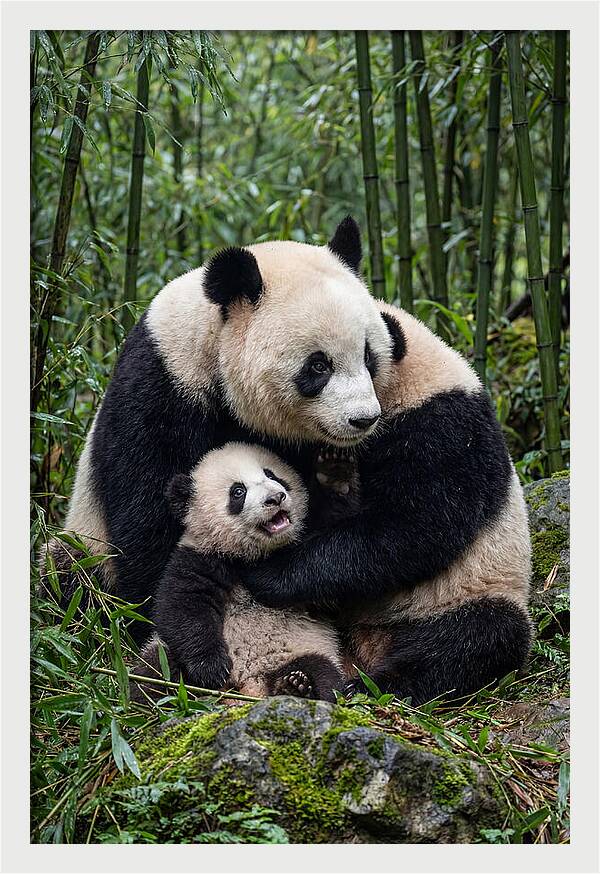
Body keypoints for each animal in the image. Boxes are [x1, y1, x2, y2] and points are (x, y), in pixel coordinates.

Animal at [132, 442, 345, 703]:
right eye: (238, 492)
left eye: (272, 475)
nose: (275, 498)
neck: (250, 554)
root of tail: (248, 684)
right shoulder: (199, 557)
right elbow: (183, 607)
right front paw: (211, 669)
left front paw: (334, 474)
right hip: (163, 653)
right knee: (153, 672)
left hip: (304, 648)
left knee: (323, 673)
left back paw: (297, 686)